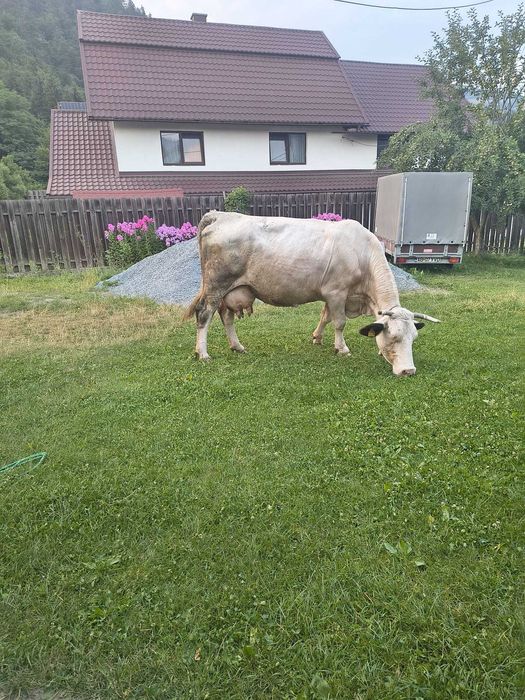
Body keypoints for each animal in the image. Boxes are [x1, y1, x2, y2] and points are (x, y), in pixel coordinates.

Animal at [185, 211, 440, 375]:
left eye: (413, 338)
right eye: (394, 338)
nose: (409, 370)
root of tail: (220, 215)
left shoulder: (334, 295)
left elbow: (325, 317)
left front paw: (317, 337)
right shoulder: (337, 292)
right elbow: (339, 322)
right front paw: (342, 348)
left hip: (230, 291)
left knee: (226, 317)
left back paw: (236, 346)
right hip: (216, 286)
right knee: (204, 315)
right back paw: (203, 353)